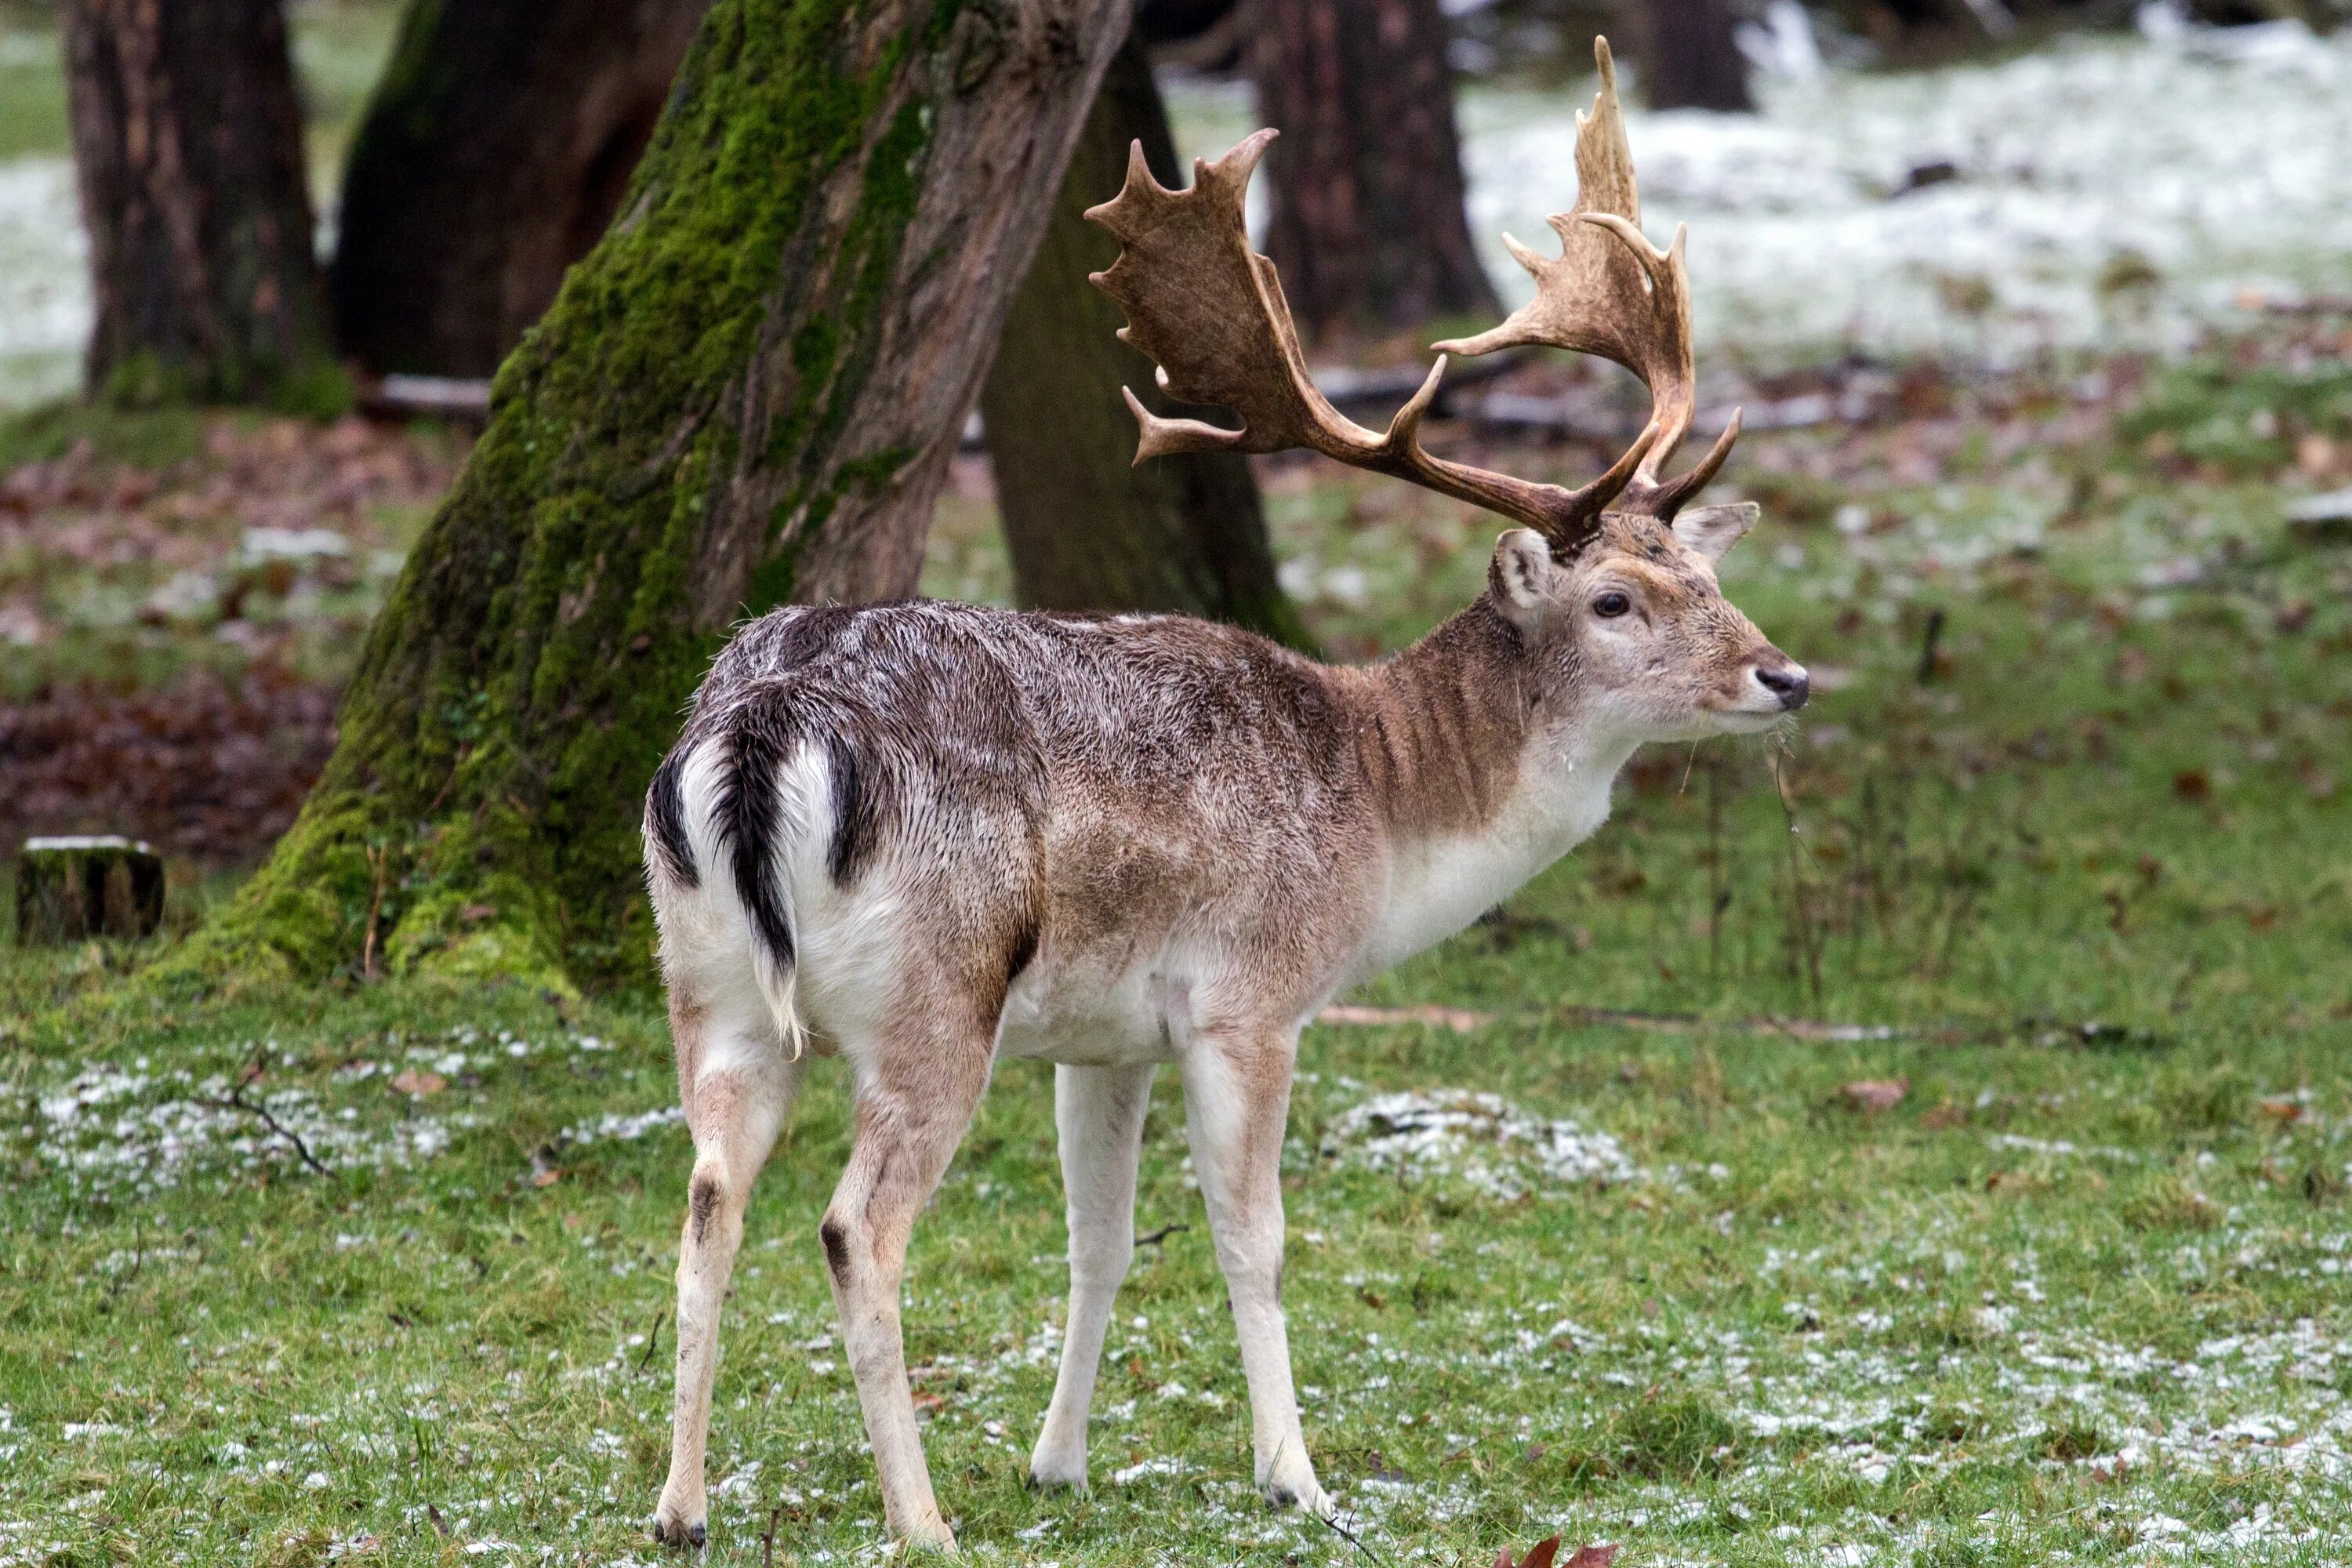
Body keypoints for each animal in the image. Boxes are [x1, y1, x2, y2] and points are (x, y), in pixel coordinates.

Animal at [644, 42, 1797, 1552]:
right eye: (1616, 600)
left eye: (1708, 577)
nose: (1785, 673)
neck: (1379, 810)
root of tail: (763, 723)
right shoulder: (1249, 997)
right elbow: (1254, 1239)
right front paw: (1297, 1479)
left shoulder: (1105, 1035)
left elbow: (1101, 1238)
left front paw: (1059, 1463)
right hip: (934, 995)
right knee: (855, 1227)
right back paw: (922, 1521)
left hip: (711, 987)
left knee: (705, 1201)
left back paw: (680, 1509)